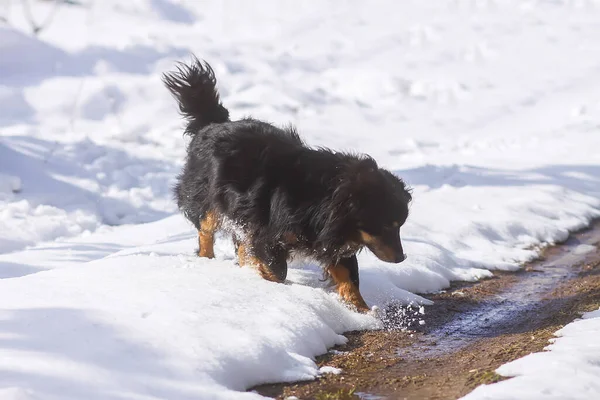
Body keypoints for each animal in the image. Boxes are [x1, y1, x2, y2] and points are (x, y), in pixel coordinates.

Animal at [162, 57, 410, 312]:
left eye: (400, 225)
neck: (324, 198)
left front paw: (363, 311)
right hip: (208, 196)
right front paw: (271, 283)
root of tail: (213, 123)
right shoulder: (271, 232)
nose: (401, 258)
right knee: (206, 228)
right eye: (387, 226)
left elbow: (348, 275)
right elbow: (277, 269)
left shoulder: (333, 235)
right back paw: (208, 258)